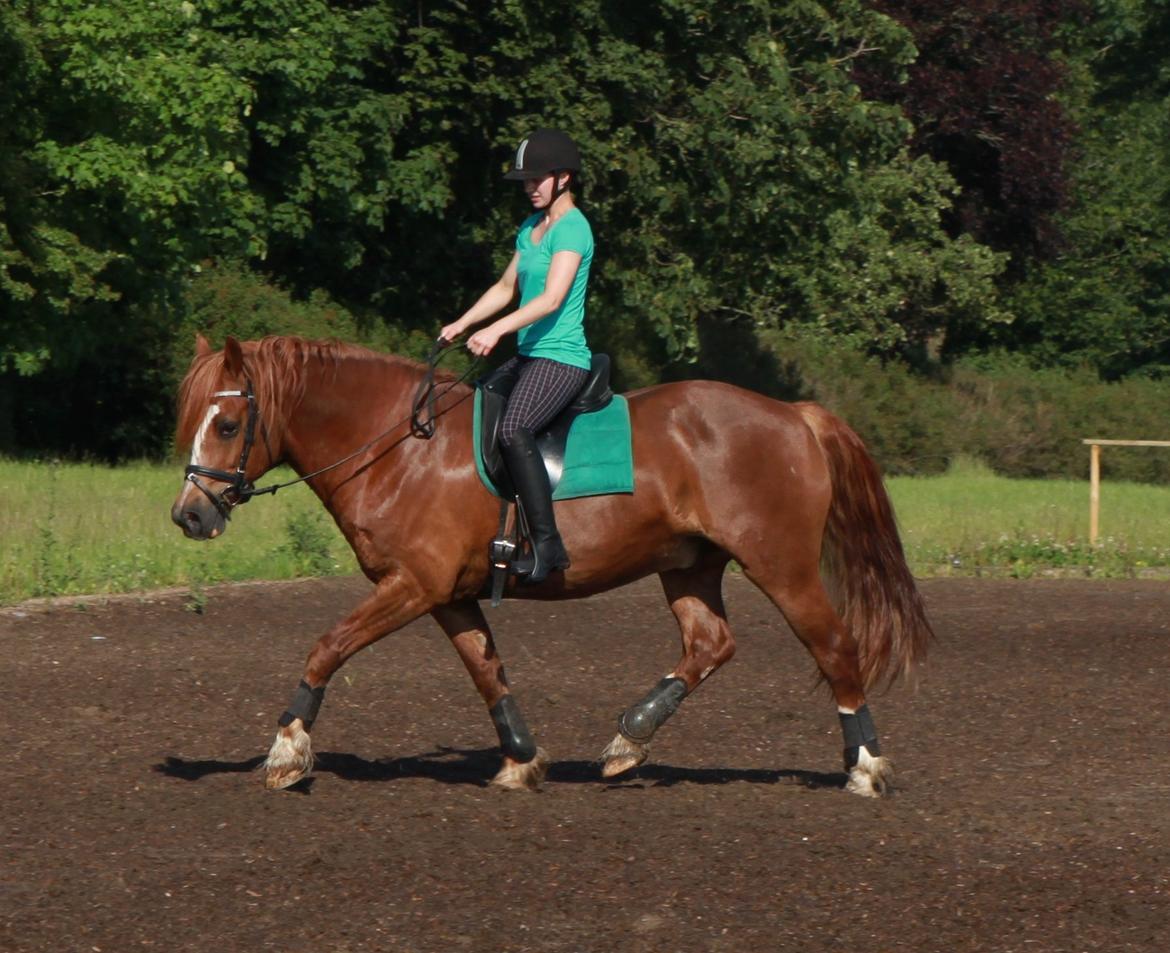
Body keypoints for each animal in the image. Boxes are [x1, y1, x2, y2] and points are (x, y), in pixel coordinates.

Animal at [169, 334, 931, 799]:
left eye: (228, 425)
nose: (189, 517)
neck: (399, 447)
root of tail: (796, 416)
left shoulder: (411, 585)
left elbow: (327, 647)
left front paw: (286, 750)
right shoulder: (444, 593)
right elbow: (487, 670)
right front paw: (520, 759)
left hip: (781, 564)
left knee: (834, 646)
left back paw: (864, 767)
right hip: (688, 564)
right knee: (710, 643)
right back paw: (629, 737)